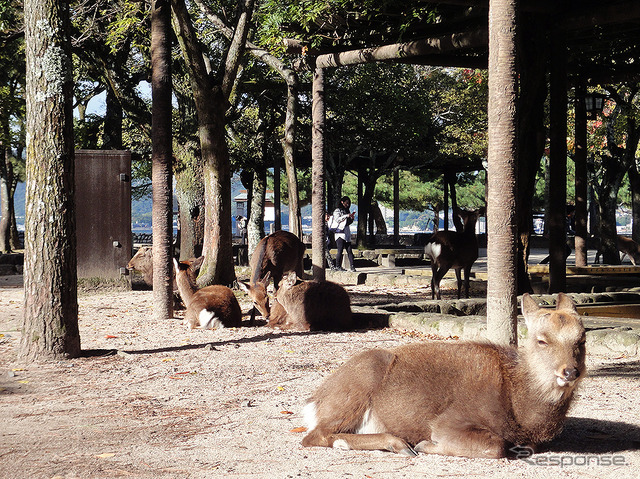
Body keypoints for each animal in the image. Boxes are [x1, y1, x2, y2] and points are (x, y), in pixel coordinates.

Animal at [302, 292, 588, 462]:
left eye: (581, 339)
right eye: (541, 340)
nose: (570, 371)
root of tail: (314, 401)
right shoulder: (449, 421)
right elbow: (495, 446)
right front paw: (425, 445)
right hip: (357, 385)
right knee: (314, 436)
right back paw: (400, 444)